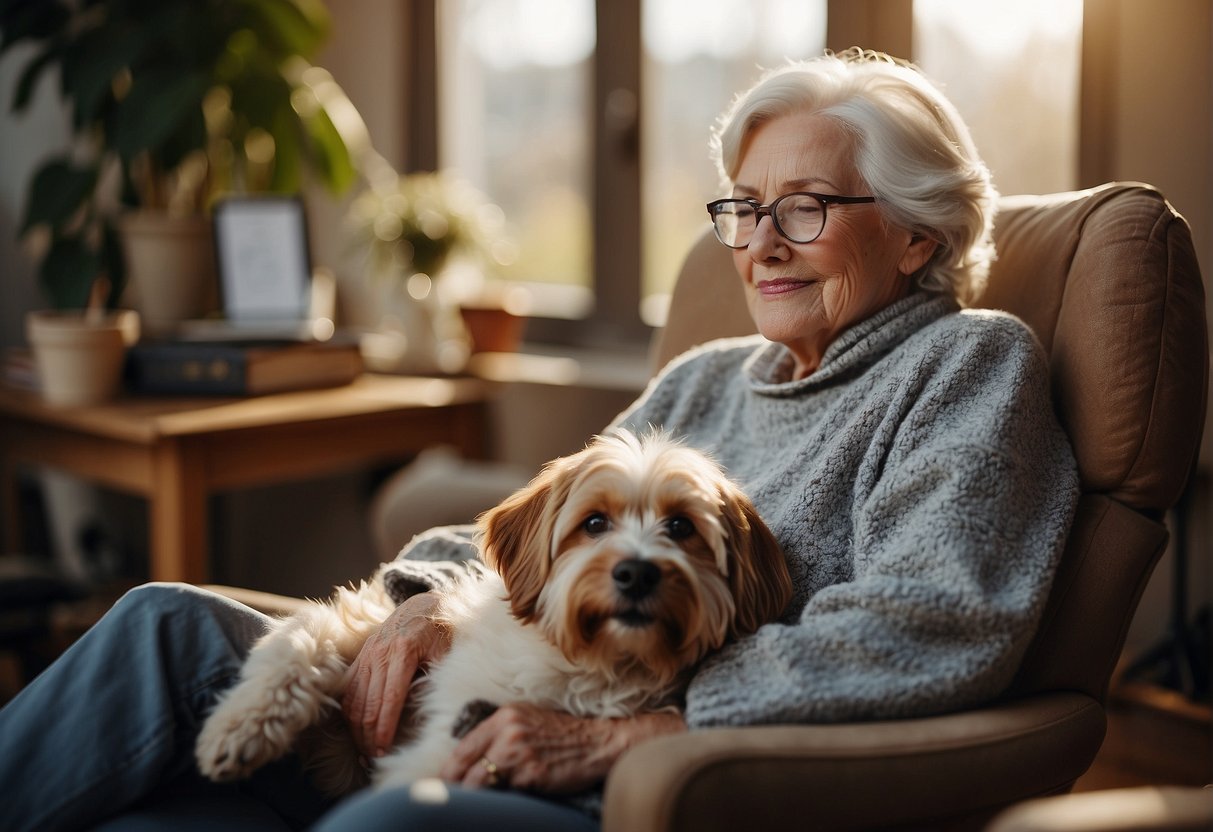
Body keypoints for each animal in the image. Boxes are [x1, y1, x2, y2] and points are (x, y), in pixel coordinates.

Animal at [194, 434, 790, 800]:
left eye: (682, 527)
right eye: (595, 523)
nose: (637, 573)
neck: (576, 657)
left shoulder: (448, 750)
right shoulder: (369, 636)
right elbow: (299, 648)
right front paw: (237, 729)